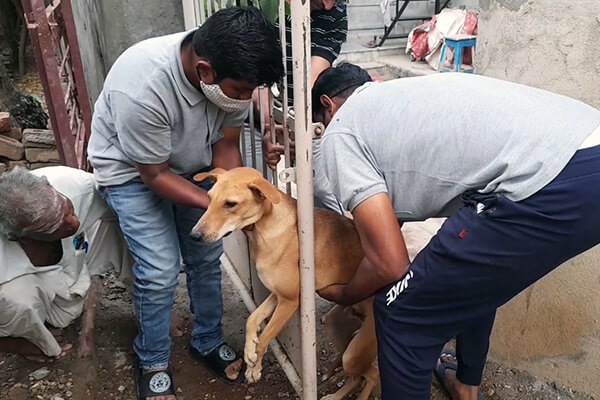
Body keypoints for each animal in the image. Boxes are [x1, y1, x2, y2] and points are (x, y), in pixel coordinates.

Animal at [192, 167, 378, 398]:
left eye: (230, 204)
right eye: (209, 198)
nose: (194, 235)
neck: (265, 228)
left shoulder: (289, 301)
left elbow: (266, 337)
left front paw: (254, 368)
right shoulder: (278, 294)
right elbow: (252, 318)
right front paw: (249, 349)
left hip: (354, 353)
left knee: (372, 375)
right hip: (338, 331)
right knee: (358, 376)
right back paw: (335, 396)